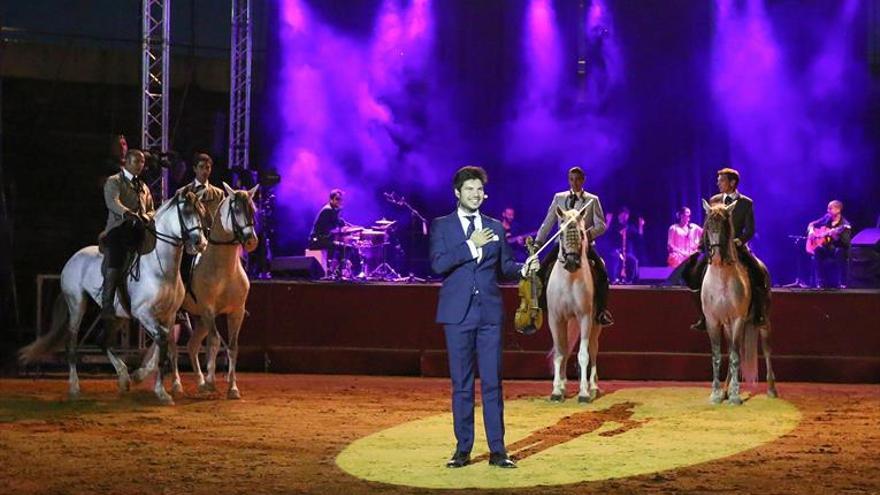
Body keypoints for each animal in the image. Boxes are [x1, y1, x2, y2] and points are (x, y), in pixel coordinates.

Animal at [21, 192, 208, 404]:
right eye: (186, 212)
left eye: (201, 211)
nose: (200, 243)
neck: (160, 267)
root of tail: (72, 259)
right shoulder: (143, 313)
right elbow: (162, 340)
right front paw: (161, 391)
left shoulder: (168, 315)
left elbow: (165, 342)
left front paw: (140, 376)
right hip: (77, 305)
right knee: (72, 344)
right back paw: (75, 388)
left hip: (117, 316)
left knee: (102, 342)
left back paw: (124, 378)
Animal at [548, 205, 600, 404]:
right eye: (560, 234)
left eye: (581, 233)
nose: (571, 262)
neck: (569, 279)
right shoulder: (555, 319)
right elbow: (559, 353)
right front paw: (557, 390)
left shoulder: (585, 317)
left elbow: (583, 355)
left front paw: (584, 393)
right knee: (564, 348)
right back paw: (562, 384)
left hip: (596, 324)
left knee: (593, 349)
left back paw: (593, 387)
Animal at [700, 200, 776, 404]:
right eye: (708, 225)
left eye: (726, 225)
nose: (716, 256)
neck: (721, 278)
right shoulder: (713, 322)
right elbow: (717, 356)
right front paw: (716, 394)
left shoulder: (738, 319)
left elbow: (734, 357)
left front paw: (735, 395)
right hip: (727, 326)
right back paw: (725, 390)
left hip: (763, 322)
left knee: (766, 350)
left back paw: (771, 390)